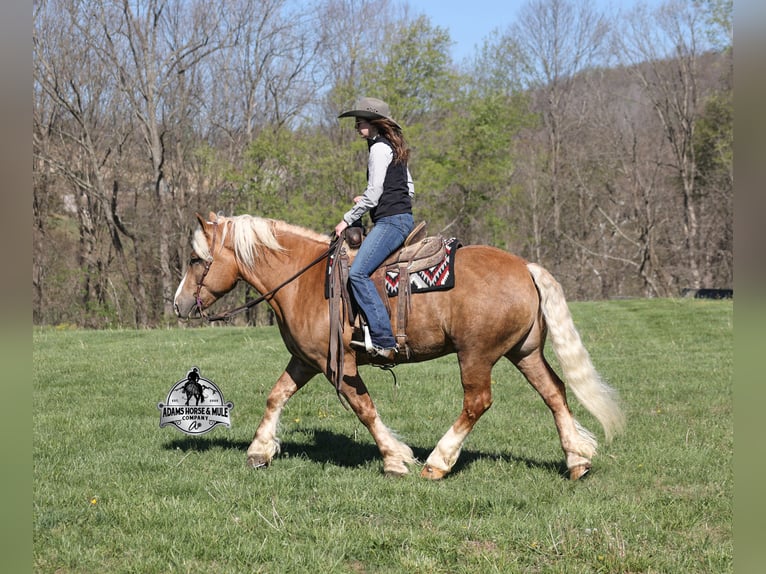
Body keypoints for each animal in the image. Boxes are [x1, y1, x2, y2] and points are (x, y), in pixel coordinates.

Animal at [173, 212, 625, 480]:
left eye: (195, 260)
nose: (179, 304)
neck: (305, 280)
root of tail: (525, 267)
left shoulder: (339, 365)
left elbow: (365, 410)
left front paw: (395, 458)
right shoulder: (306, 360)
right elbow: (276, 396)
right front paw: (259, 451)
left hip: (475, 356)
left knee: (477, 402)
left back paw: (438, 463)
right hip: (524, 352)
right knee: (554, 392)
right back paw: (576, 460)